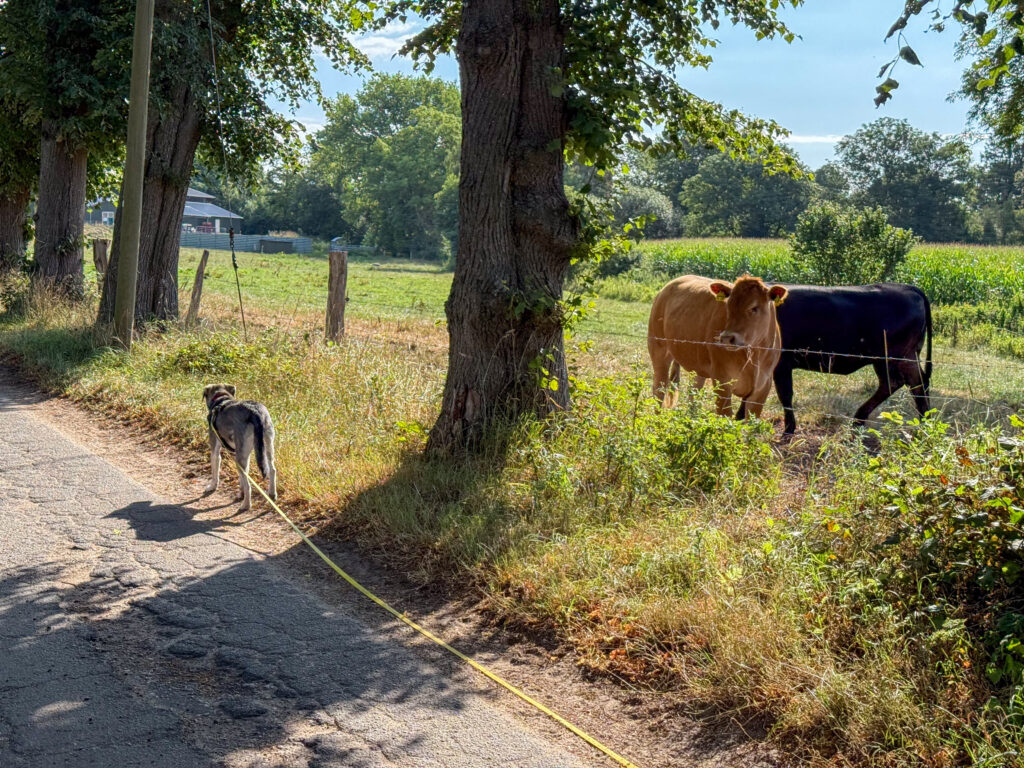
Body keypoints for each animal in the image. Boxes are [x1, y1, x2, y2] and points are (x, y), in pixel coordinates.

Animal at [648, 274, 787, 417]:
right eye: (728, 305)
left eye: (754, 308)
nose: (726, 338)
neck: (753, 354)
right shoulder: (722, 380)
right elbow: (725, 417)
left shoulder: (763, 386)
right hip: (658, 350)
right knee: (659, 389)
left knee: (694, 391)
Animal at [735, 283, 933, 433]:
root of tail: (907, 287)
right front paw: (737, 419)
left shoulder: (781, 364)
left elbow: (784, 394)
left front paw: (789, 428)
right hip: (892, 358)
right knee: (896, 383)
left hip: (898, 357)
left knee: (914, 384)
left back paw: (923, 423)